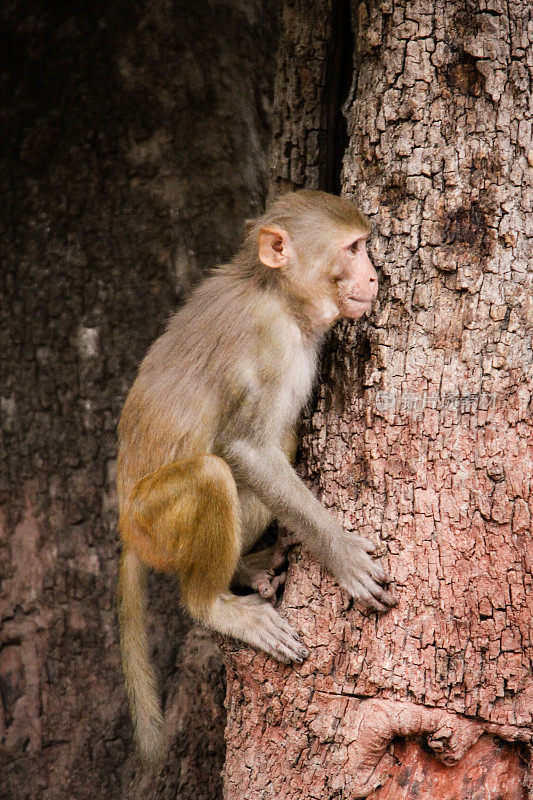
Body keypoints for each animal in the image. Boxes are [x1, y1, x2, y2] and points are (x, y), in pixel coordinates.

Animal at [118, 188, 396, 764]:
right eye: (353, 248)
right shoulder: (265, 340)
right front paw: (341, 553)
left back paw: (245, 568)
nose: (374, 275)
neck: (282, 298)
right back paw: (215, 605)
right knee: (211, 474)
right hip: (153, 522)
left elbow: (268, 449)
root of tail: (126, 530)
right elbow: (246, 449)